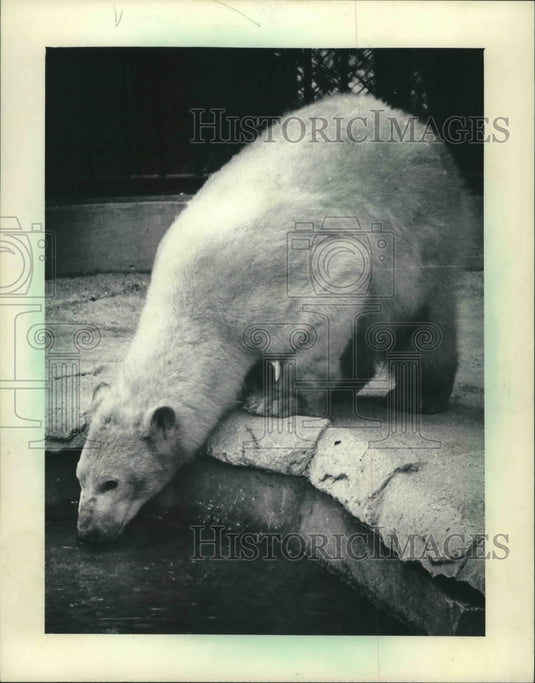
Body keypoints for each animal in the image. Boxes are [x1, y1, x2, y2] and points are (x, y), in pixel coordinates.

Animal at [76, 92, 473, 543]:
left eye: (112, 483)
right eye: (80, 479)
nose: (87, 531)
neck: (193, 305)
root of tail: (407, 120)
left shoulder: (294, 272)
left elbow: (333, 294)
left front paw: (276, 402)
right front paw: (254, 386)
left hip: (421, 228)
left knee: (421, 319)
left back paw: (419, 396)